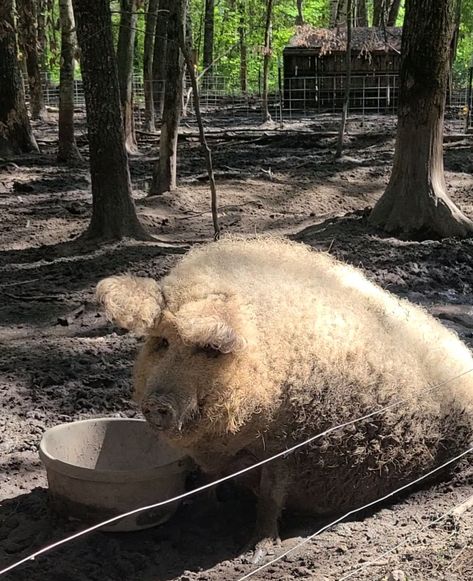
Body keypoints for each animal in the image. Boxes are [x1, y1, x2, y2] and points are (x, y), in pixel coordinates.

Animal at [96, 237, 472, 560]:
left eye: (210, 350)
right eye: (161, 342)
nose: (157, 403)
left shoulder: (287, 442)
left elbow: (271, 495)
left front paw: (255, 552)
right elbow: (207, 483)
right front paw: (204, 516)